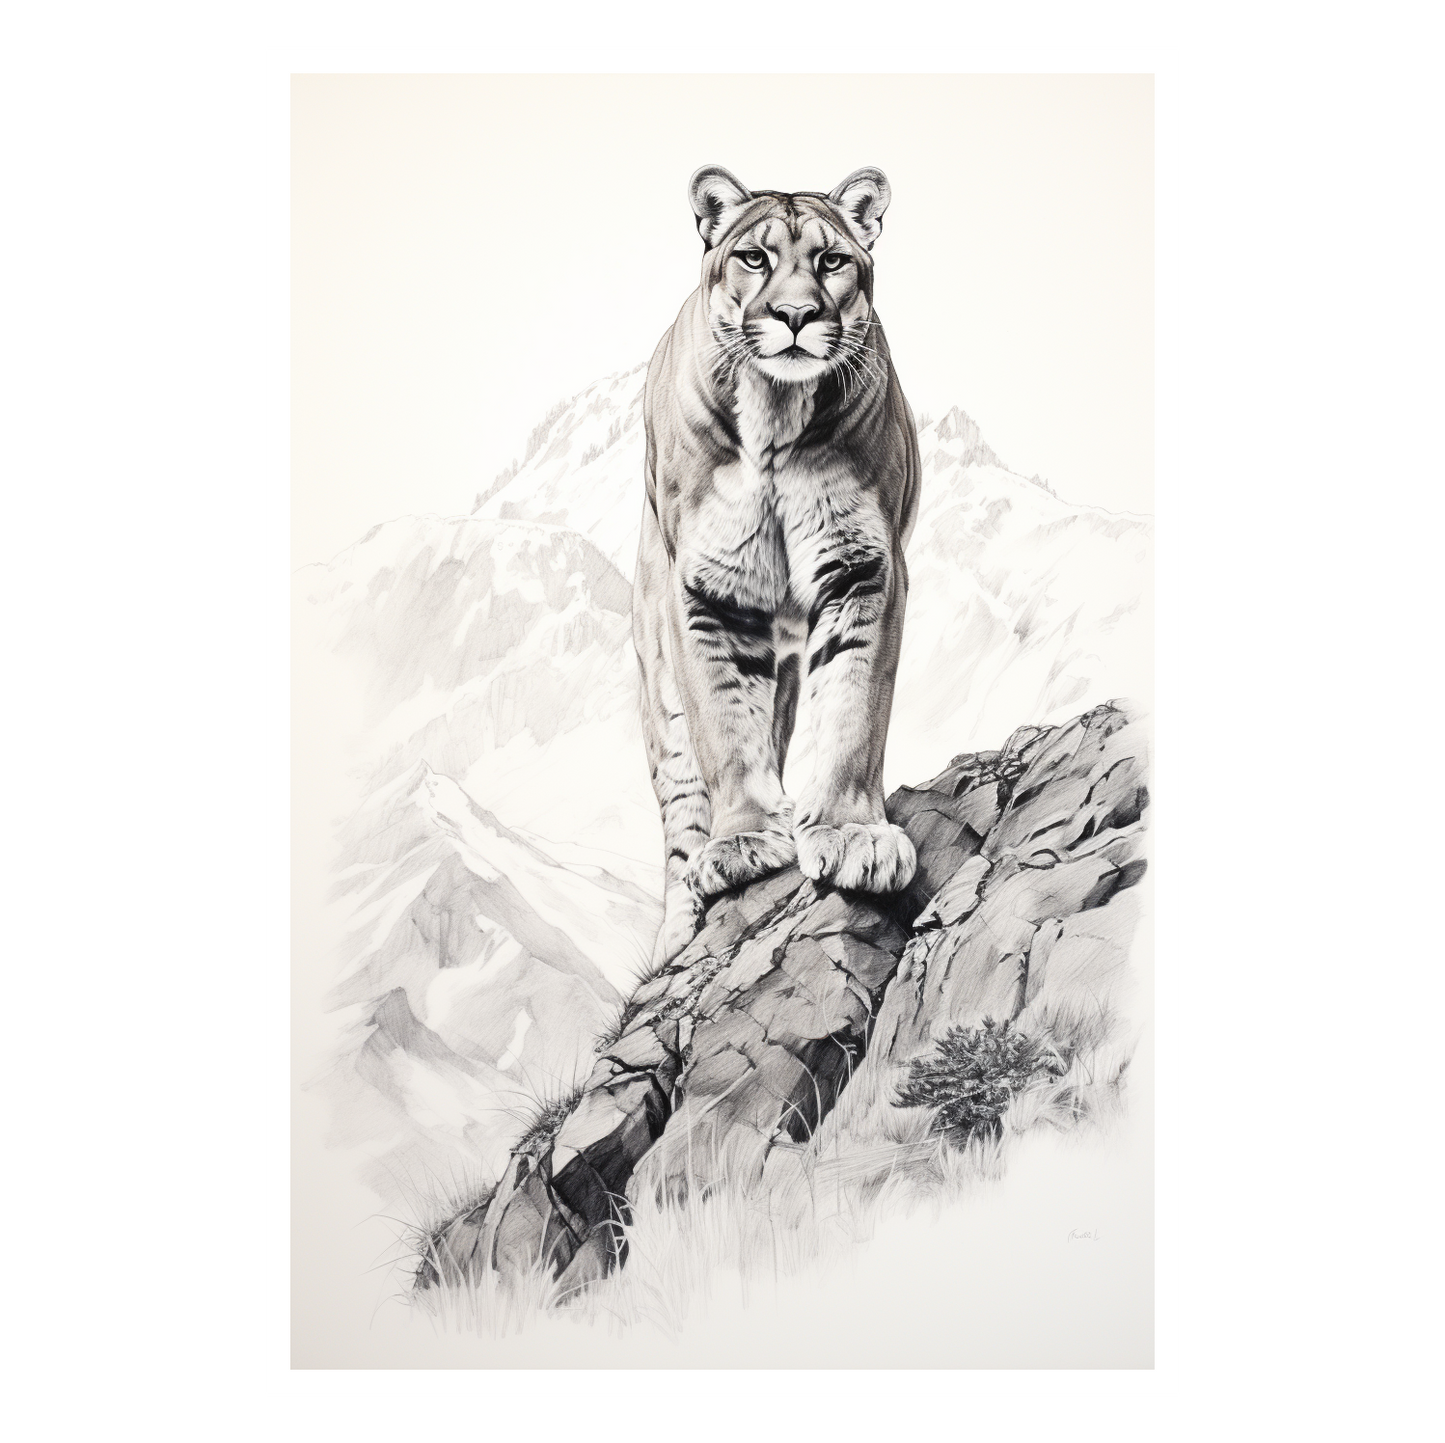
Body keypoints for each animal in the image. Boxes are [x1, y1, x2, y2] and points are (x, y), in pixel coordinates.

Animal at [633, 165, 922, 965]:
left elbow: (853, 708)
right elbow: (725, 725)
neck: (775, 415)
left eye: (832, 261)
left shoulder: (864, 568)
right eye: (754, 258)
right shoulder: (705, 590)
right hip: (658, 691)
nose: (796, 314)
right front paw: (745, 844)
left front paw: (852, 836)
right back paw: (677, 935)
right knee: (679, 808)